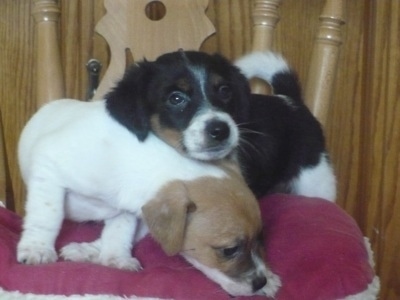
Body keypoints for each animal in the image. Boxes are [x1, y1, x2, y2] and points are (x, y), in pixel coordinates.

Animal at [17, 99, 280, 296]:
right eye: (229, 250)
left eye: (261, 237)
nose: (261, 282)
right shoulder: (49, 167)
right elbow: (47, 216)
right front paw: (37, 248)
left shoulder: (129, 211)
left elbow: (119, 233)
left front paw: (115, 258)